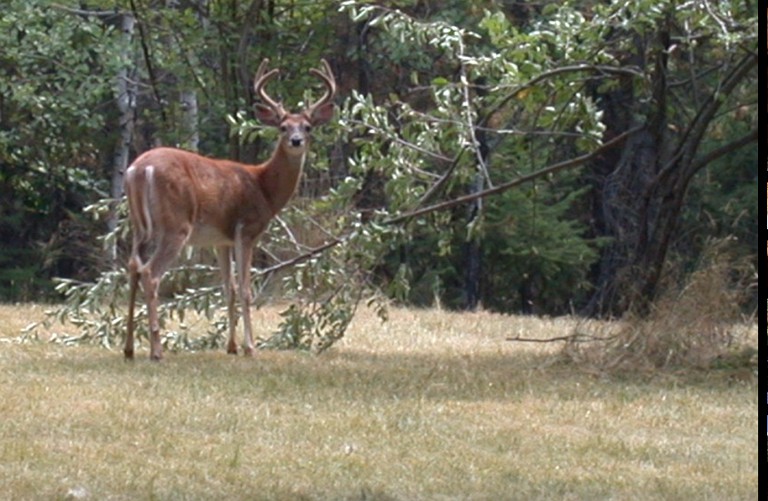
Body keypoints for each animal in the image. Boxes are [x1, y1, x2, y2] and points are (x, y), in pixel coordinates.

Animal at [125, 57, 336, 360]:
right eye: (283, 127)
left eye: (307, 126)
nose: (296, 141)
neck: (264, 187)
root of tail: (140, 169)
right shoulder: (247, 230)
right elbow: (246, 289)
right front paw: (250, 347)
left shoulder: (220, 239)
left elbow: (229, 288)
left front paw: (232, 346)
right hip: (175, 225)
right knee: (151, 274)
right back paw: (156, 350)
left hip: (139, 225)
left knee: (132, 267)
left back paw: (129, 348)